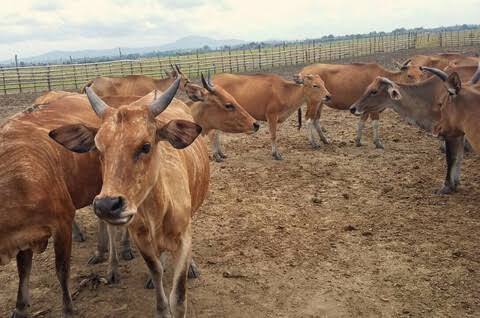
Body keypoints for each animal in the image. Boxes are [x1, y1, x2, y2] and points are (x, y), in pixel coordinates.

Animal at [51, 77, 208, 318]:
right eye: (98, 148)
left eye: (145, 146)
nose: (107, 205)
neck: (157, 210)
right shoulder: (140, 238)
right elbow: (156, 270)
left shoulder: (183, 237)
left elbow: (179, 297)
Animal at [189, 73, 332, 160]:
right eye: (315, 85)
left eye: (323, 83)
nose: (328, 96)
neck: (284, 91)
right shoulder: (271, 115)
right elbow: (273, 135)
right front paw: (276, 154)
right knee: (213, 134)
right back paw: (216, 155)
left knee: (216, 133)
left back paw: (220, 153)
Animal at [346, 64, 478, 194]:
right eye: (367, 88)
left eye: (374, 91)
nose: (353, 108)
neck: (432, 97)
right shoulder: (458, 133)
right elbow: (459, 157)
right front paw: (455, 183)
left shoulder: (451, 133)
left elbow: (452, 158)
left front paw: (447, 186)